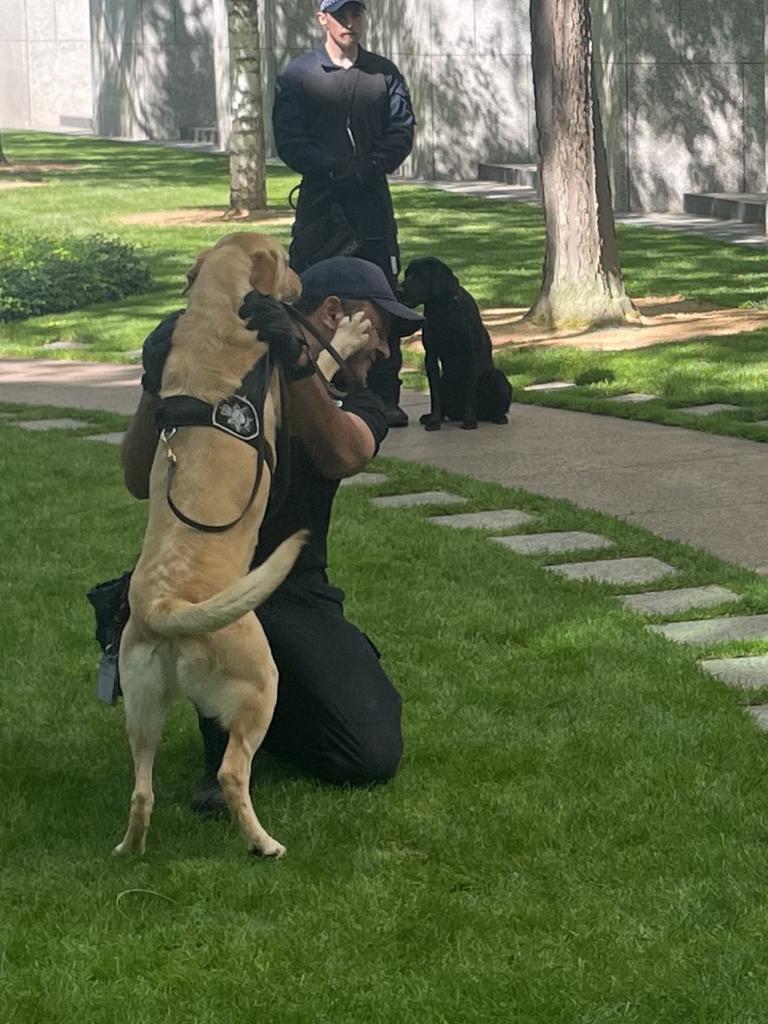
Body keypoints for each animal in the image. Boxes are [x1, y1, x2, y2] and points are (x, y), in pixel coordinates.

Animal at [114, 232, 307, 856]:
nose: (301, 283)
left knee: (142, 790)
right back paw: (264, 845)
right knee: (229, 773)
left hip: (141, 708)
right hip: (261, 686)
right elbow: (315, 363)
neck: (215, 313)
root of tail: (165, 609)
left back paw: (130, 850)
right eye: (286, 260)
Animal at [399, 260, 514, 432]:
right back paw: (431, 417)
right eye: (407, 273)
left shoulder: (471, 354)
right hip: (444, 380)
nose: (398, 290)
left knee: (494, 405)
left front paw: (469, 420)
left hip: (498, 378)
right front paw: (434, 421)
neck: (443, 311)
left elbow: (470, 391)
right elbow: (435, 395)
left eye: (421, 275)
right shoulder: (430, 356)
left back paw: (497, 417)